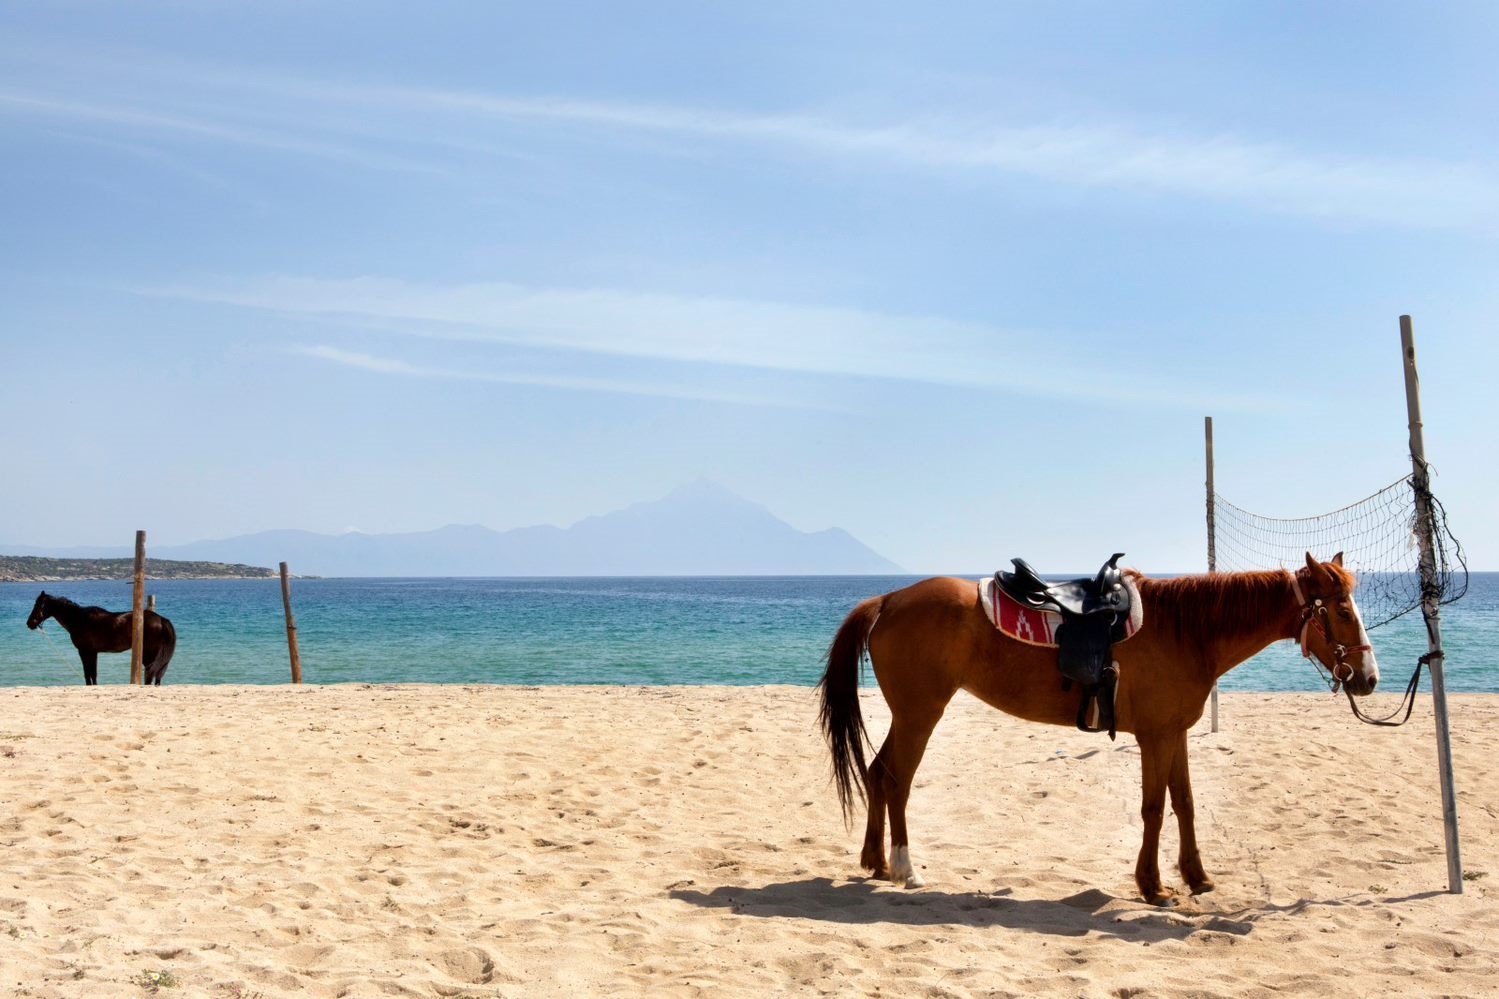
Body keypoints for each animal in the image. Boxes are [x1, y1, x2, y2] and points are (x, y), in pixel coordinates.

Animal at [26, 591, 178, 684]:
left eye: (38, 605)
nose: (29, 623)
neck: (79, 620)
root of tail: (160, 619)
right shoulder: (93, 653)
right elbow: (93, 674)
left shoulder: (85, 652)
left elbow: (88, 674)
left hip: (149, 654)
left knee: (151, 672)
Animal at [827, 552, 1373, 900]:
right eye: (1343, 610)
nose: (1369, 679)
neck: (1186, 629)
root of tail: (889, 600)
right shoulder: (1155, 736)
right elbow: (1154, 809)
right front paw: (1153, 887)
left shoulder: (1174, 732)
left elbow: (1185, 803)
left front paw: (1197, 877)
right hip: (921, 713)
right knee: (897, 780)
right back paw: (905, 868)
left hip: (908, 715)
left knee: (876, 774)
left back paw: (875, 862)